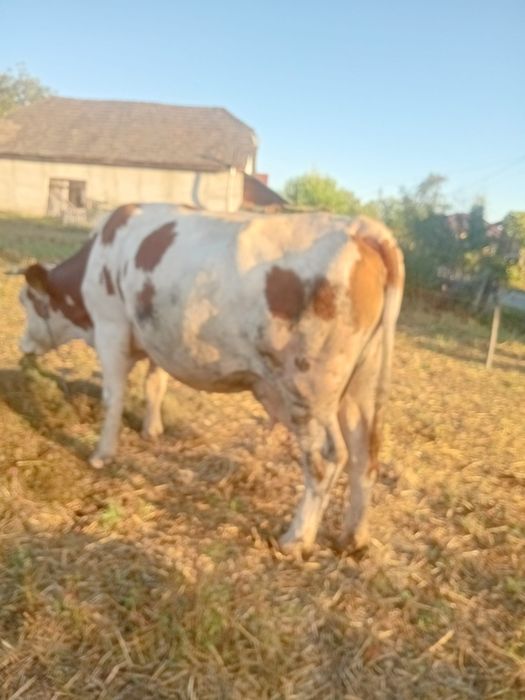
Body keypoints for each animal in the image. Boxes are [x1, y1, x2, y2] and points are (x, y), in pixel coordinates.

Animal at [19, 203, 404, 555]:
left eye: (26, 302)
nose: (22, 346)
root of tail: (361, 228)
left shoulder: (111, 327)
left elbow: (113, 396)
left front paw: (102, 454)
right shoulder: (158, 335)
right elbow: (155, 384)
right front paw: (152, 430)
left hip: (308, 387)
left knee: (326, 458)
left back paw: (296, 540)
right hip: (360, 387)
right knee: (364, 454)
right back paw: (353, 538)